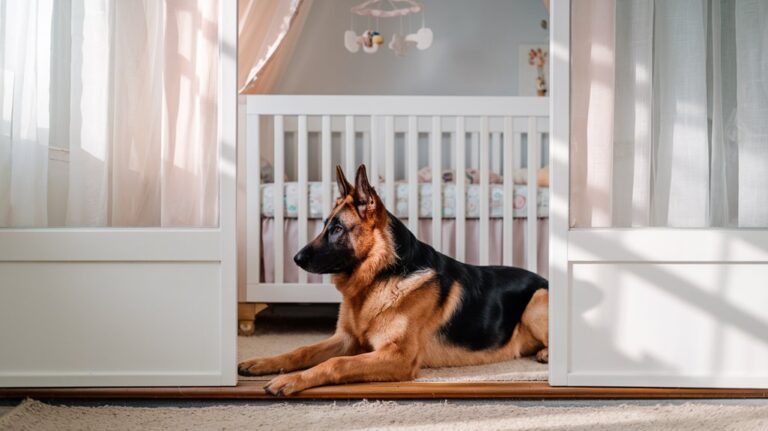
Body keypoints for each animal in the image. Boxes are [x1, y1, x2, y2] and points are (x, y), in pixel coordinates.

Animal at [238, 166, 544, 398]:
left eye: (337, 229)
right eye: (324, 225)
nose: (296, 258)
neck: (379, 279)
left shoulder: (397, 356)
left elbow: (336, 363)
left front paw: (290, 380)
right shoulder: (346, 339)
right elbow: (301, 350)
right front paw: (263, 363)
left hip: (537, 299)